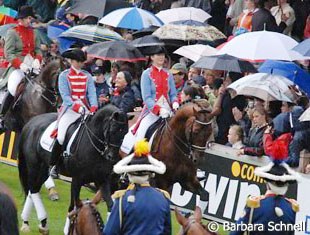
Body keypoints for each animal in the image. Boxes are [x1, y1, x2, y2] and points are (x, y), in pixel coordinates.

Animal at [17, 105, 128, 234]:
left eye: (125, 133)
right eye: (112, 130)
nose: (112, 157)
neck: (93, 144)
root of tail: (31, 122)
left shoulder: (102, 181)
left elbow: (110, 205)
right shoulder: (76, 180)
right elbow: (72, 207)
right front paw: (69, 229)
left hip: (43, 170)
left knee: (33, 189)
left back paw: (36, 223)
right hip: (33, 166)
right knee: (32, 190)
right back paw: (33, 222)